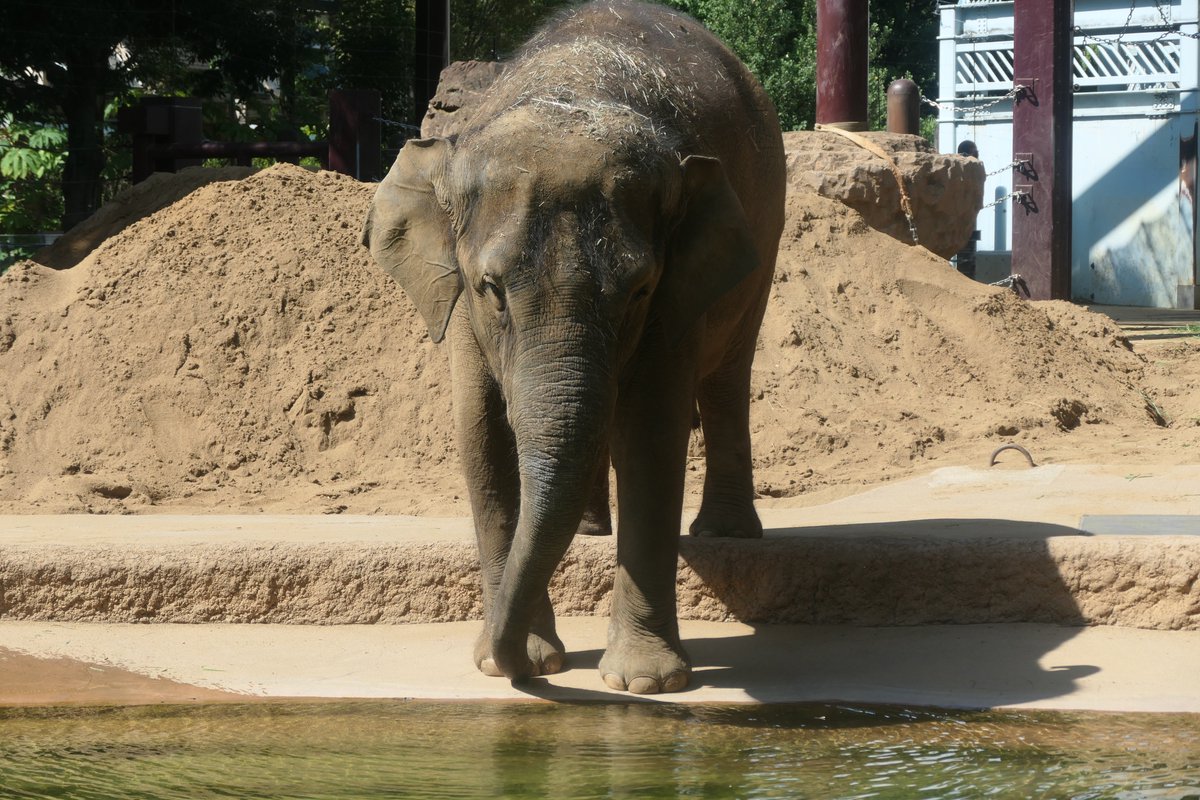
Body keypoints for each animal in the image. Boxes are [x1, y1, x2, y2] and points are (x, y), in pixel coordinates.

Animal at [363, 0, 785, 694]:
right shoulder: (464, 315)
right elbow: (482, 435)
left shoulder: (674, 296)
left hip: (762, 237)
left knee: (727, 378)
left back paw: (725, 531)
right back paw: (588, 532)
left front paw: (643, 683)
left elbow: (652, 431)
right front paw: (518, 661)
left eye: (639, 290)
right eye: (491, 289)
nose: (515, 670)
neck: (573, 88)